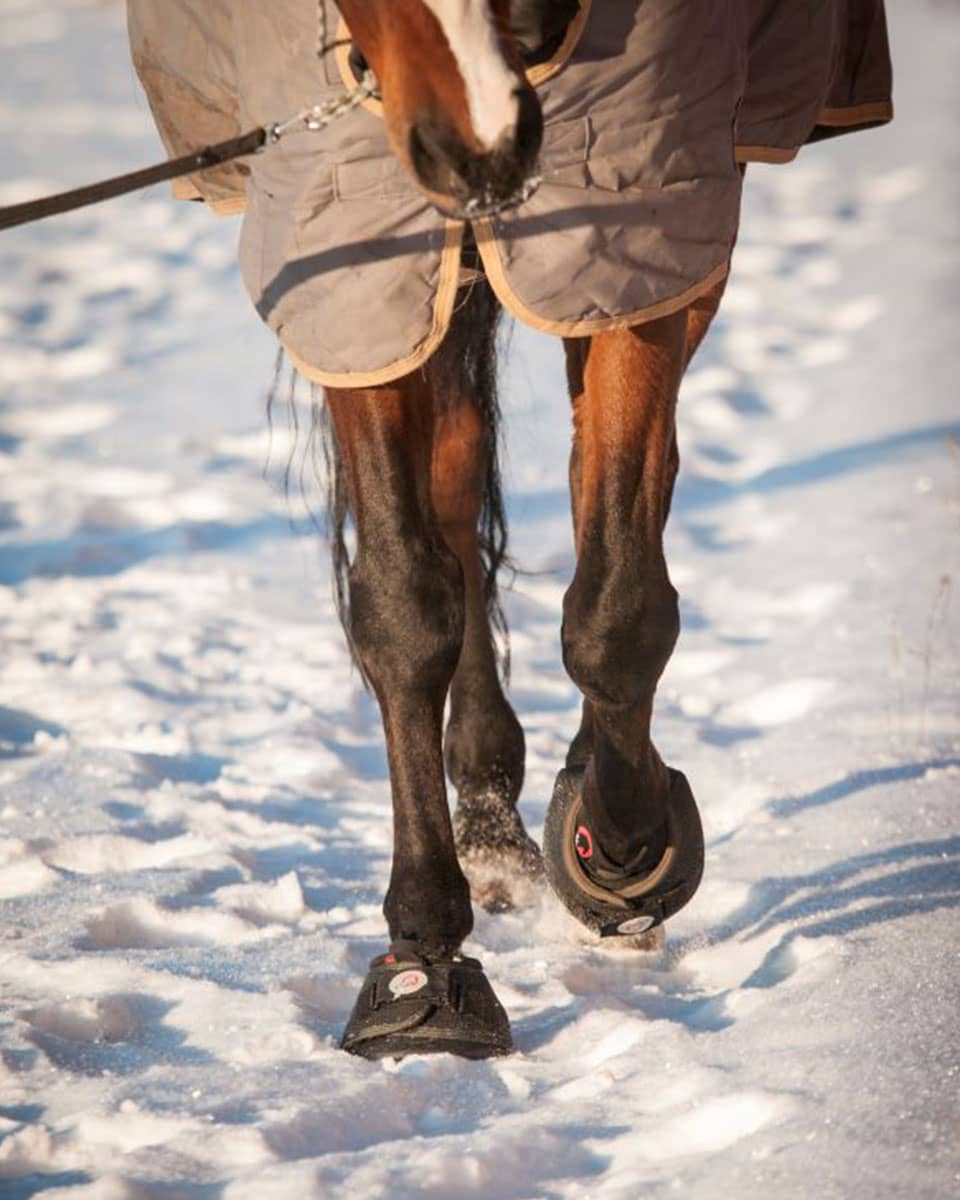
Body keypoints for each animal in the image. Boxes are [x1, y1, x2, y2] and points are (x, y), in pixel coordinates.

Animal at [126, 0, 893, 1059]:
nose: (480, 143)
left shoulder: (637, 230)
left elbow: (618, 601)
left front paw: (623, 856)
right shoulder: (363, 272)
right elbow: (405, 606)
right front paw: (423, 955)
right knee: (457, 496)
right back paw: (486, 816)